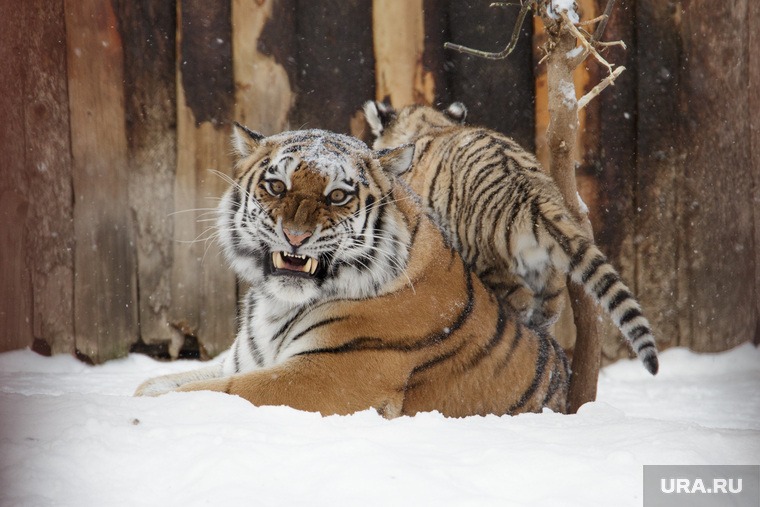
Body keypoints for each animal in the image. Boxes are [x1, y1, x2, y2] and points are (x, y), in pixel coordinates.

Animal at [134, 125, 568, 418]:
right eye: (276, 187)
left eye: (338, 196)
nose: (295, 236)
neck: (276, 305)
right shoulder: (244, 362)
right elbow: (166, 381)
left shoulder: (324, 375)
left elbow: (215, 392)